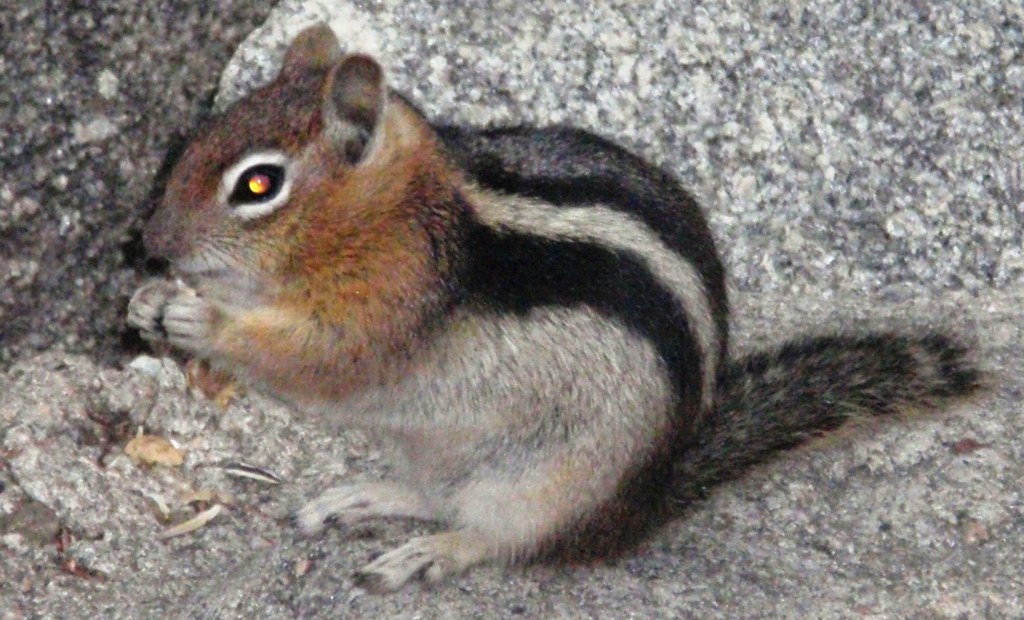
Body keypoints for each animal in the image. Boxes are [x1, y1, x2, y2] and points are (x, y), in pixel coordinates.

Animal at [127, 25, 979, 592]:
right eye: (197, 138)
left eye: (258, 184)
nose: (150, 241)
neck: (401, 215)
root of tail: (641, 506)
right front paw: (152, 300)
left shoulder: (384, 309)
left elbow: (317, 358)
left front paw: (201, 322)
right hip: (436, 449)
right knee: (432, 495)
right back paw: (365, 497)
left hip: (539, 485)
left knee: (498, 539)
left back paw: (430, 554)